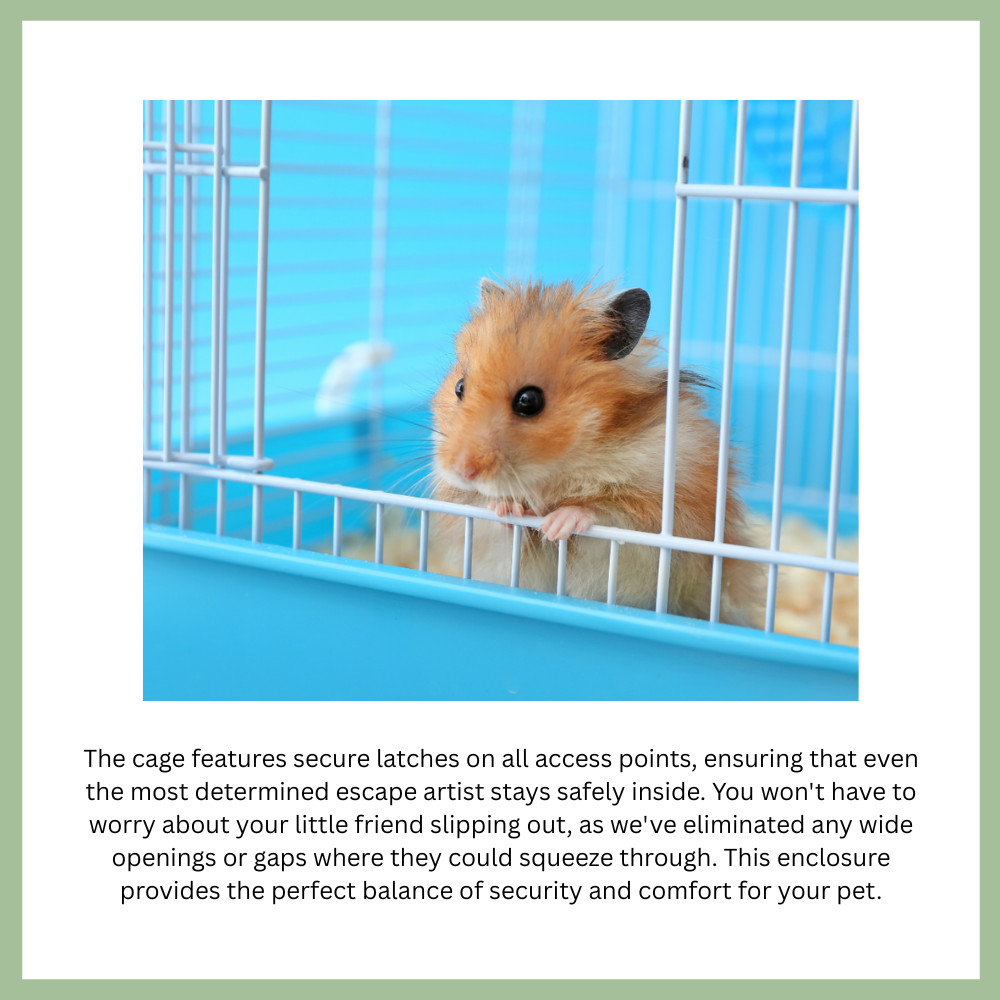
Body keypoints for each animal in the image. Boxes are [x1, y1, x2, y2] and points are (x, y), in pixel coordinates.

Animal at [431, 278, 763, 627]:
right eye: (459, 387)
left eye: (529, 401)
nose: (462, 471)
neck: (562, 466)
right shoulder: (483, 540)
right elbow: (493, 522)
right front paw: (507, 508)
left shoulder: (663, 514)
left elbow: (607, 514)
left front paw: (556, 525)